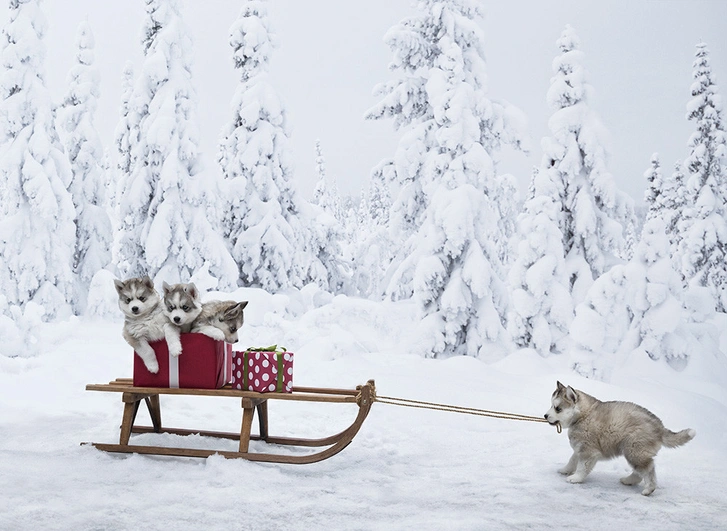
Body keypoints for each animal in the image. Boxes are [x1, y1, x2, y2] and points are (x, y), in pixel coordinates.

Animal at [544, 380, 692, 496]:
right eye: (552, 406)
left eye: (558, 409)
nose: (545, 415)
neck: (582, 416)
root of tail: (660, 427)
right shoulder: (579, 447)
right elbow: (573, 460)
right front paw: (565, 470)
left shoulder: (588, 451)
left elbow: (582, 467)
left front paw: (576, 478)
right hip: (633, 451)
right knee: (640, 472)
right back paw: (628, 481)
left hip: (634, 449)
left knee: (648, 470)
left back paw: (648, 489)